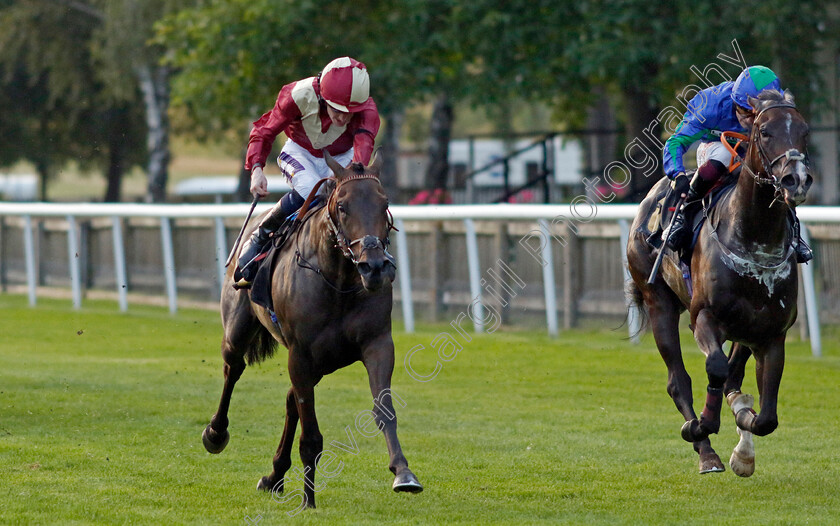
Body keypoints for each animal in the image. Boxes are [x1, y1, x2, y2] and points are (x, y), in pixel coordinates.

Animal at [201, 153, 424, 512]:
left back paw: (275, 475)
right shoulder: (301, 353)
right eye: (343, 206)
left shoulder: (377, 344)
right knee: (233, 369)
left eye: (385, 203)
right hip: (239, 330)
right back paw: (216, 434)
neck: (338, 279)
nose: (375, 267)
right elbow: (311, 435)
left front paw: (403, 473)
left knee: (291, 399)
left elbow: (384, 410)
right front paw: (308, 499)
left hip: (321, 361)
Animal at [628, 91, 812, 478]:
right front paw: (701, 425)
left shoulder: (771, 333)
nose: (797, 179)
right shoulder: (704, 317)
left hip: (744, 328)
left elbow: (766, 416)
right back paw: (706, 452)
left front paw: (744, 440)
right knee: (678, 381)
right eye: (765, 132)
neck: (754, 238)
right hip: (658, 301)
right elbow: (714, 368)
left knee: (733, 375)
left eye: (804, 131)